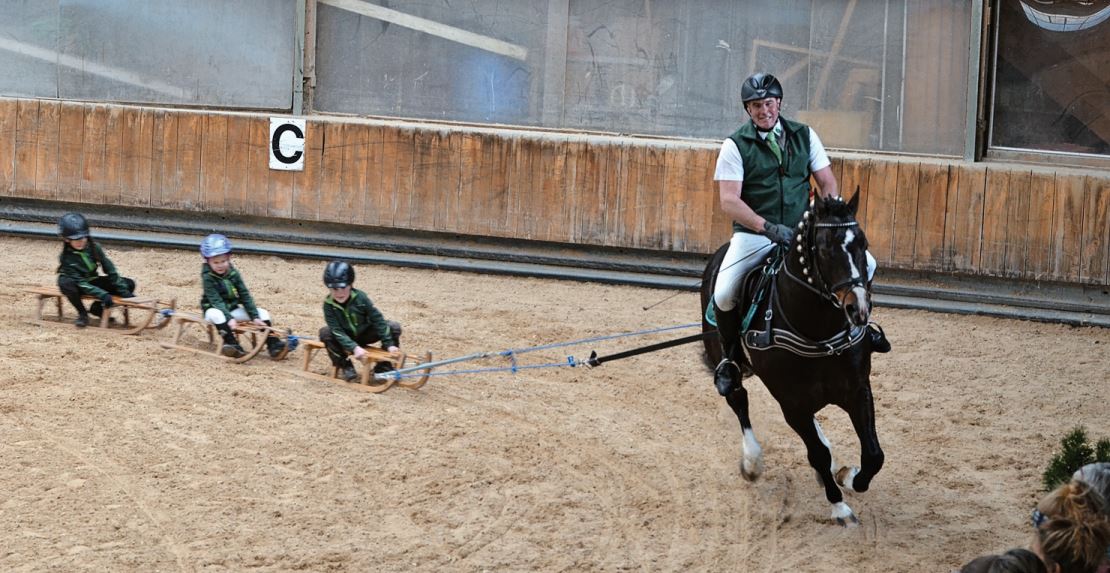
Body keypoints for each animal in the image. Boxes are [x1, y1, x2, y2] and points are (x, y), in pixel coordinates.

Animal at [701, 192, 883, 528]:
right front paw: (839, 507)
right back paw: (752, 462)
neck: (818, 331)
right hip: (724, 352)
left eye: (863, 243)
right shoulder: (792, 404)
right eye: (824, 248)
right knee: (738, 399)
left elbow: (874, 455)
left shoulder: (857, 390)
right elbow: (817, 455)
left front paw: (849, 477)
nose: (858, 310)